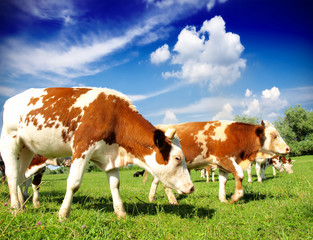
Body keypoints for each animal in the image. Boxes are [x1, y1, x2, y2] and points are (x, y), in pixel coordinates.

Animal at [0, 88, 193, 219]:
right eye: (177, 158)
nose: (191, 187)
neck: (114, 114)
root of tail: (11, 100)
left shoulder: (110, 155)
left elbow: (115, 184)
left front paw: (121, 213)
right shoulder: (82, 147)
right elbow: (74, 183)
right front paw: (63, 214)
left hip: (26, 149)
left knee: (20, 177)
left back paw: (22, 207)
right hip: (10, 141)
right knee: (12, 176)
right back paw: (15, 209)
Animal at [150, 121, 288, 203]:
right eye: (274, 134)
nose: (288, 148)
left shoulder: (222, 165)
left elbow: (223, 181)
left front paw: (223, 199)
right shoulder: (225, 159)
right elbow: (240, 175)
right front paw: (236, 197)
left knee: (156, 181)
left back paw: (152, 198)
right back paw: (173, 200)